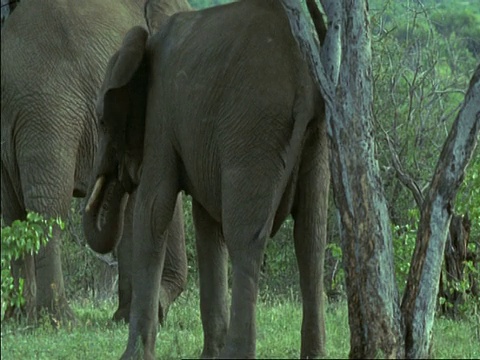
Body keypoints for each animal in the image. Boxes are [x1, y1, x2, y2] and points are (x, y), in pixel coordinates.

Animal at [0, 0, 191, 322]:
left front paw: (128, 316)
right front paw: (155, 309)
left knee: (13, 212)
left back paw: (19, 318)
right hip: (48, 113)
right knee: (48, 207)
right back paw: (60, 319)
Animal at [83, 0, 330, 358]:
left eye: (102, 121)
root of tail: (301, 77)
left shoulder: (160, 118)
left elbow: (153, 209)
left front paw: (131, 356)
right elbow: (207, 228)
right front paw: (209, 355)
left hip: (252, 129)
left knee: (246, 239)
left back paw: (237, 353)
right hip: (316, 136)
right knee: (311, 236)